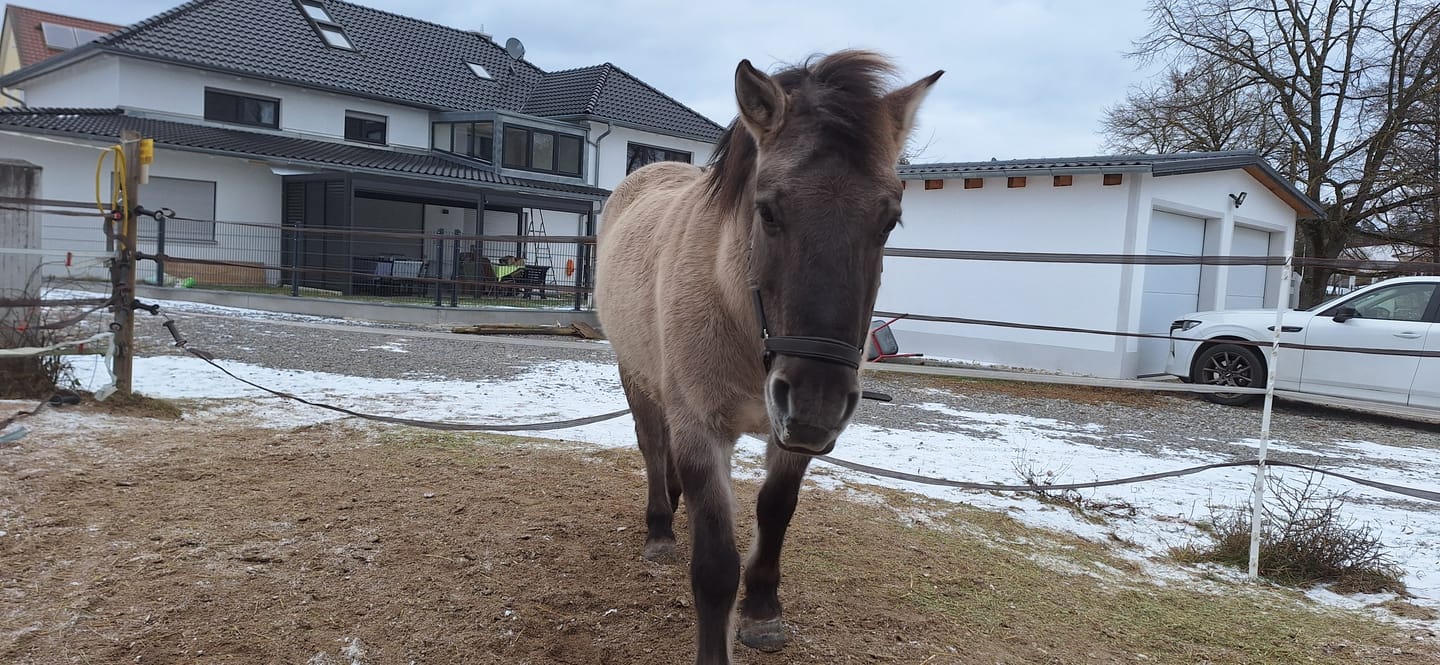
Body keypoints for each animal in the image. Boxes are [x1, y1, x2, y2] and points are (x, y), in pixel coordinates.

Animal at [595, 50, 941, 665]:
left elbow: (775, 513)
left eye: (889, 220)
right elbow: (714, 565)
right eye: (769, 211)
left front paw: (761, 613)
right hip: (635, 375)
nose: (818, 401)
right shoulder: (701, 428)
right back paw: (660, 528)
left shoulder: (791, 439)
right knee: (653, 445)